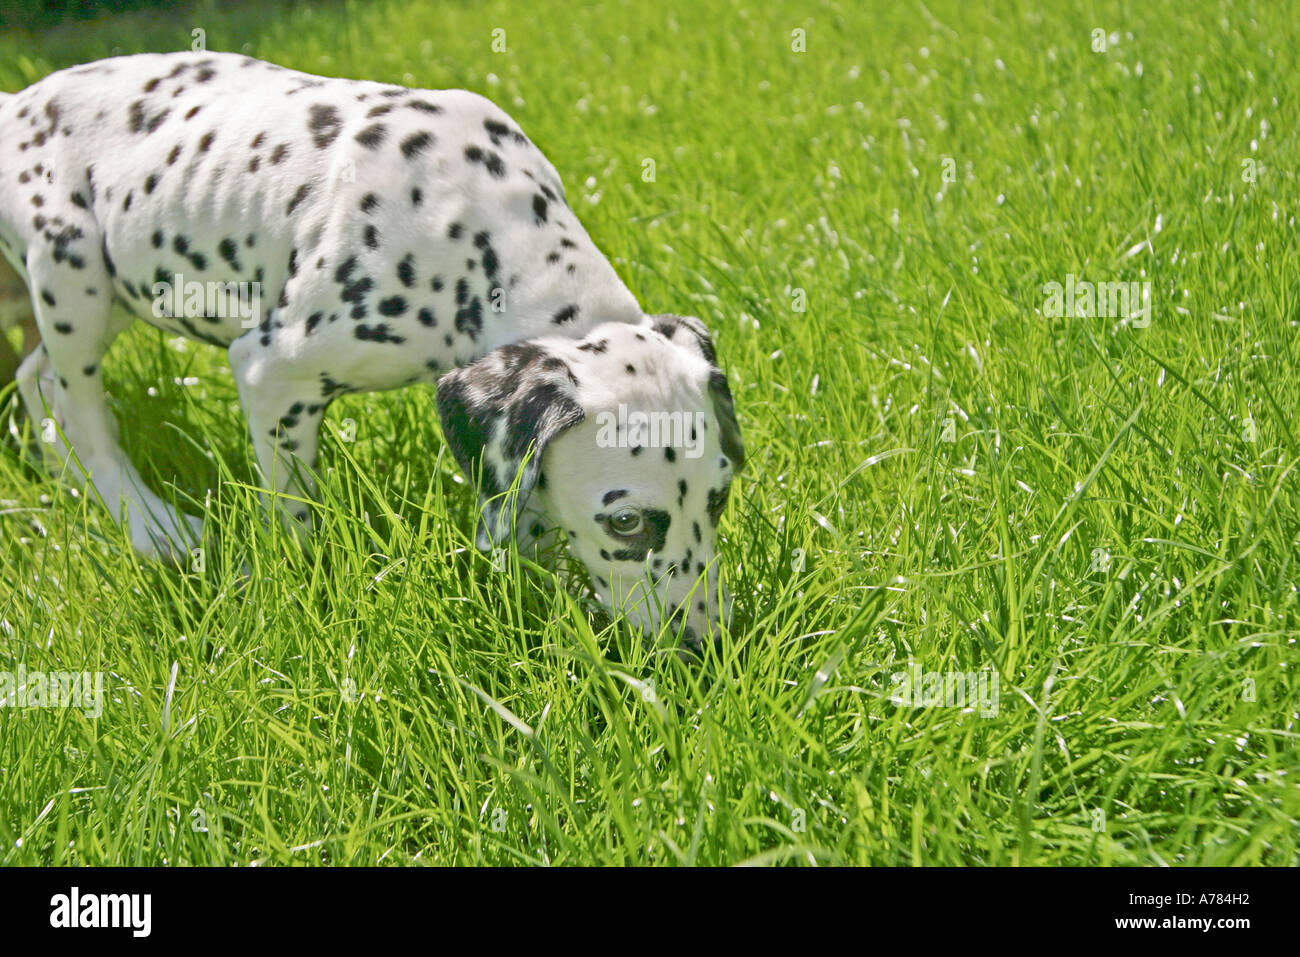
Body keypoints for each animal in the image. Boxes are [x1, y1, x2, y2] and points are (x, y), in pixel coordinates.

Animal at [2, 55, 743, 647]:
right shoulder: (273, 375)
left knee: (40, 383)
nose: (709, 646)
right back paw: (151, 525)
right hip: (73, 272)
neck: (472, 229)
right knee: (84, 414)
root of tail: (17, 103)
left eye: (720, 498)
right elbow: (298, 519)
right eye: (626, 522)